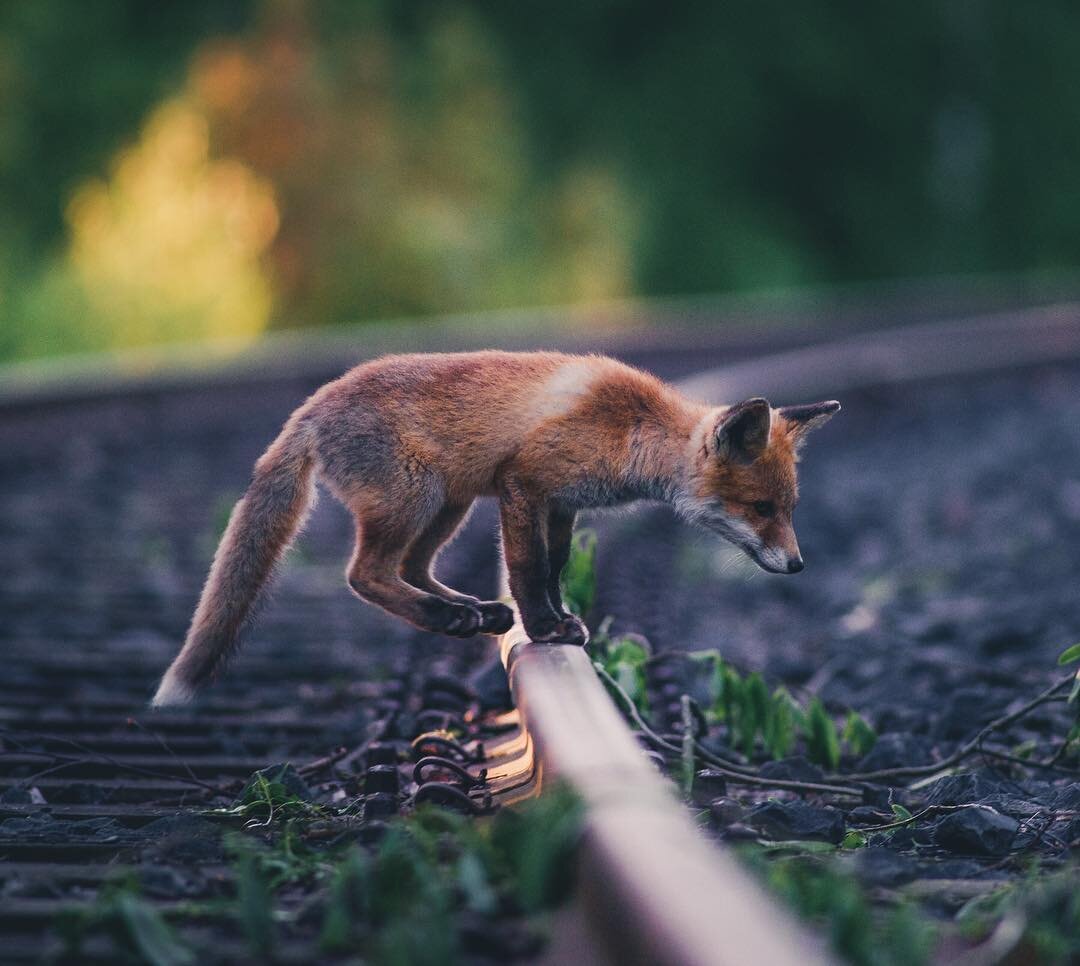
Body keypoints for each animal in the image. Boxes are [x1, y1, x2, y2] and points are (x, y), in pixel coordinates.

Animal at [152, 352, 838, 708]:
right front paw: (544, 630)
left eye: (790, 507)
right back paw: (452, 616)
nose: (799, 564)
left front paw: (558, 621)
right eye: (761, 508)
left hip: (448, 507)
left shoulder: (562, 505)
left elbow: (556, 567)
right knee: (365, 575)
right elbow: (529, 569)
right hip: (417, 498)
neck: (633, 432)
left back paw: (473, 613)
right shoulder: (524, 484)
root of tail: (310, 409)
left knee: (410, 569)